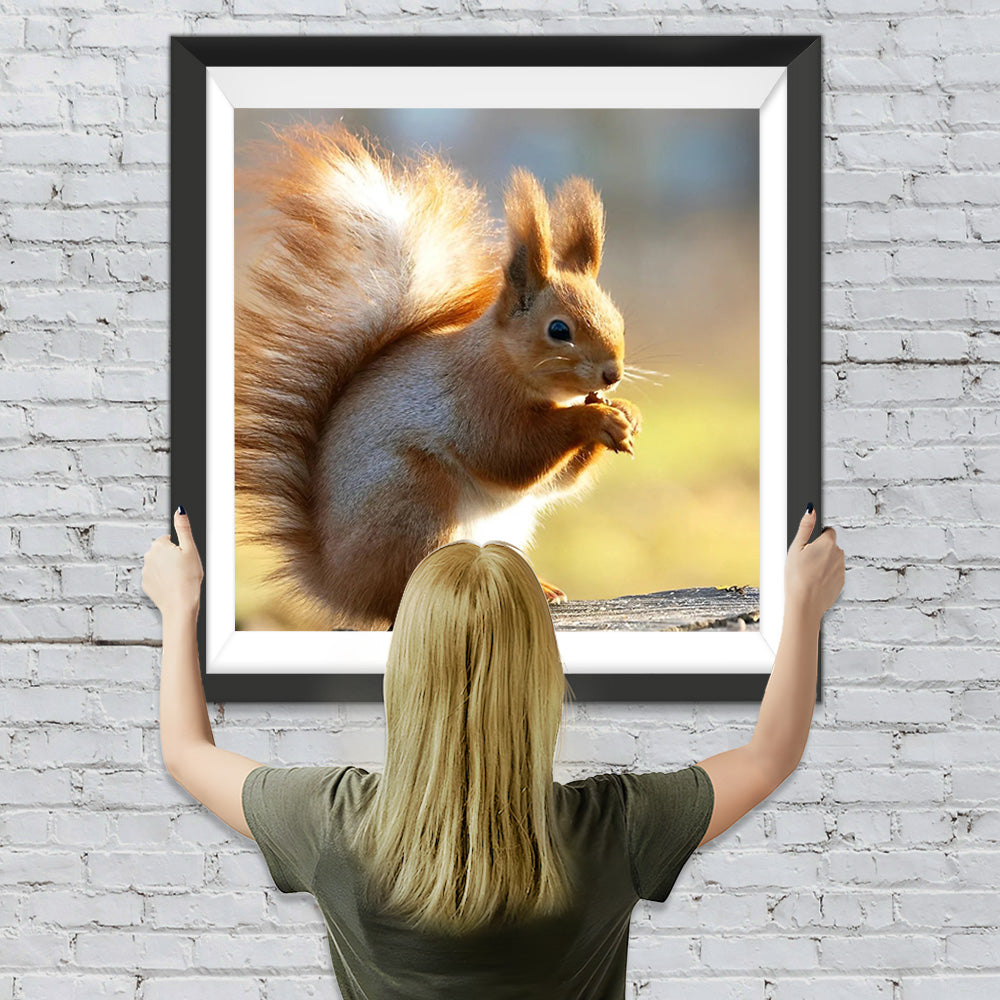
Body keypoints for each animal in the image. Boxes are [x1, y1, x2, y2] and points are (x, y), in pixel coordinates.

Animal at [234, 122, 642, 631]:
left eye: (617, 318)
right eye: (559, 330)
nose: (612, 374)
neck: (503, 361)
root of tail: (337, 582)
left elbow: (555, 481)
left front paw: (626, 413)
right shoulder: (475, 400)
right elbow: (511, 455)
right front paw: (595, 420)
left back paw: (533, 589)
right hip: (415, 500)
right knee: (398, 595)